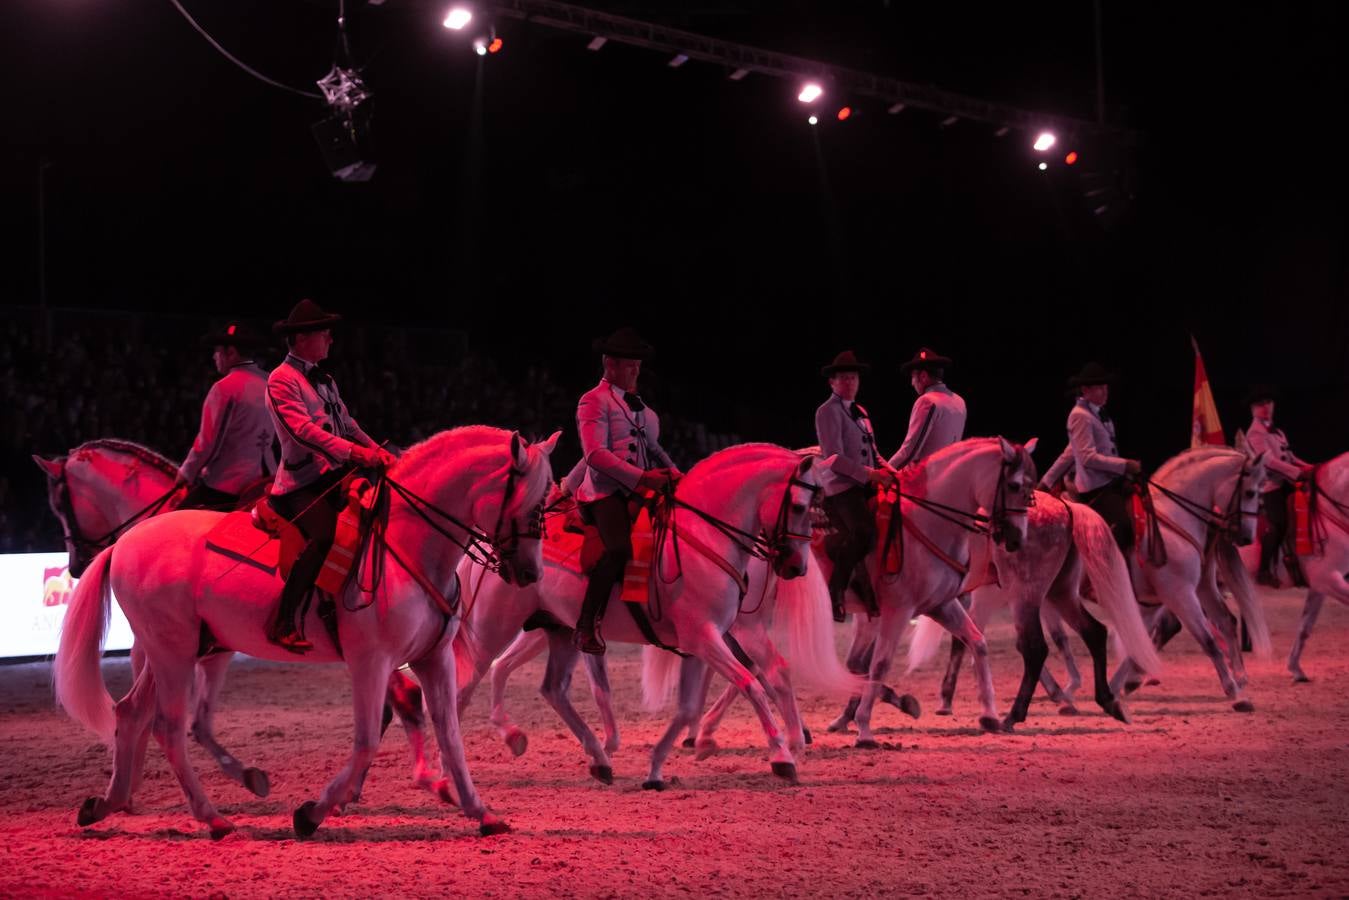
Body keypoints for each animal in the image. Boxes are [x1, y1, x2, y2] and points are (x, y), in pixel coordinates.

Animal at [53, 426, 558, 841]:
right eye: (530, 503)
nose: (531, 573)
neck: (406, 543)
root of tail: (126, 541)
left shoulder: (433, 659)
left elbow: (450, 734)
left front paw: (480, 811)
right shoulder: (370, 662)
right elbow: (367, 739)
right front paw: (312, 813)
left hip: (172, 652)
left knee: (132, 713)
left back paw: (107, 804)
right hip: (172, 653)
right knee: (168, 727)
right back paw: (212, 819)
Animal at [455, 445, 820, 788]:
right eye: (799, 507)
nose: (796, 566)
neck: (701, 535)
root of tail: (490, 544)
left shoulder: (703, 643)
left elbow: (693, 706)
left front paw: (656, 769)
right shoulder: (704, 638)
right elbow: (749, 685)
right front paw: (781, 757)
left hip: (556, 631)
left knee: (547, 686)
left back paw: (586, 756)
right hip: (494, 629)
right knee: (467, 685)